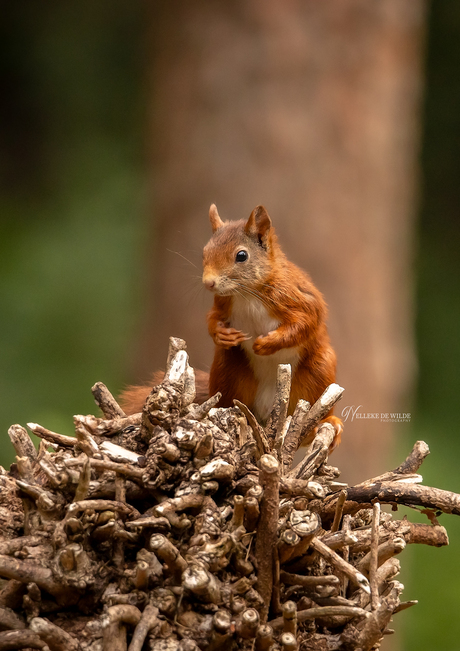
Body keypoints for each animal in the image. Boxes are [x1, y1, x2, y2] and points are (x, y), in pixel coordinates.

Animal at [118, 204, 342, 448]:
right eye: (205, 252)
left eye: (241, 256)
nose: (209, 283)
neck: (246, 293)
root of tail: (267, 415)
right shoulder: (222, 304)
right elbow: (212, 319)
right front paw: (223, 335)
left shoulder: (297, 297)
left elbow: (304, 323)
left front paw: (266, 344)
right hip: (228, 371)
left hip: (318, 372)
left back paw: (328, 424)